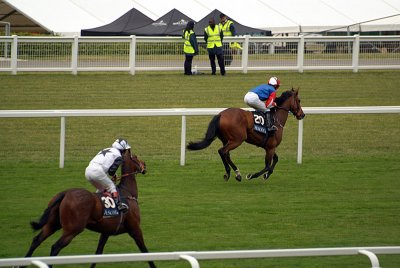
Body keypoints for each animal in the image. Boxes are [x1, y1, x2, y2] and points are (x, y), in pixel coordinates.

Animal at [23, 150, 156, 266]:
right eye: (136, 157)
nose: (145, 165)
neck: (128, 192)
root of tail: (65, 193)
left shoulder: (106, 232)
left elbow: (97, 254)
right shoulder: (135, 229)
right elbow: (145, 252)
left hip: (53, 223)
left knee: (36, 240)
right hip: (72, 229)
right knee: (56, 247)